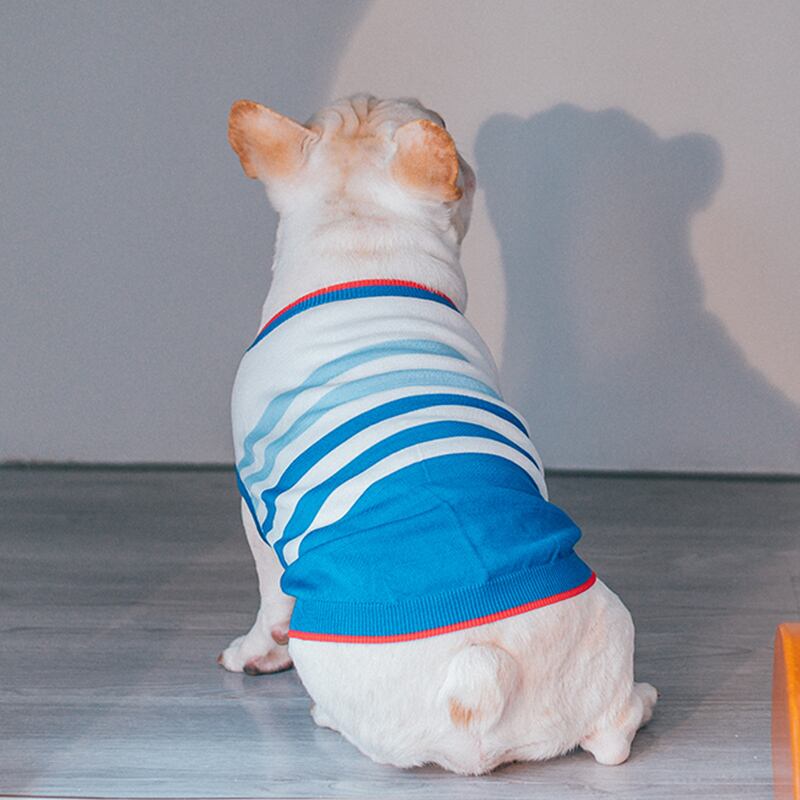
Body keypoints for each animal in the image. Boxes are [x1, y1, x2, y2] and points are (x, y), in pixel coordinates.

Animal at [219, 94, 656, 775]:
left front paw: (256, 654)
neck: (357, 246)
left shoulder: (255, 509)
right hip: (608, 626)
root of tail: (477, 671)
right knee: (611, 733)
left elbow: (270, 603)